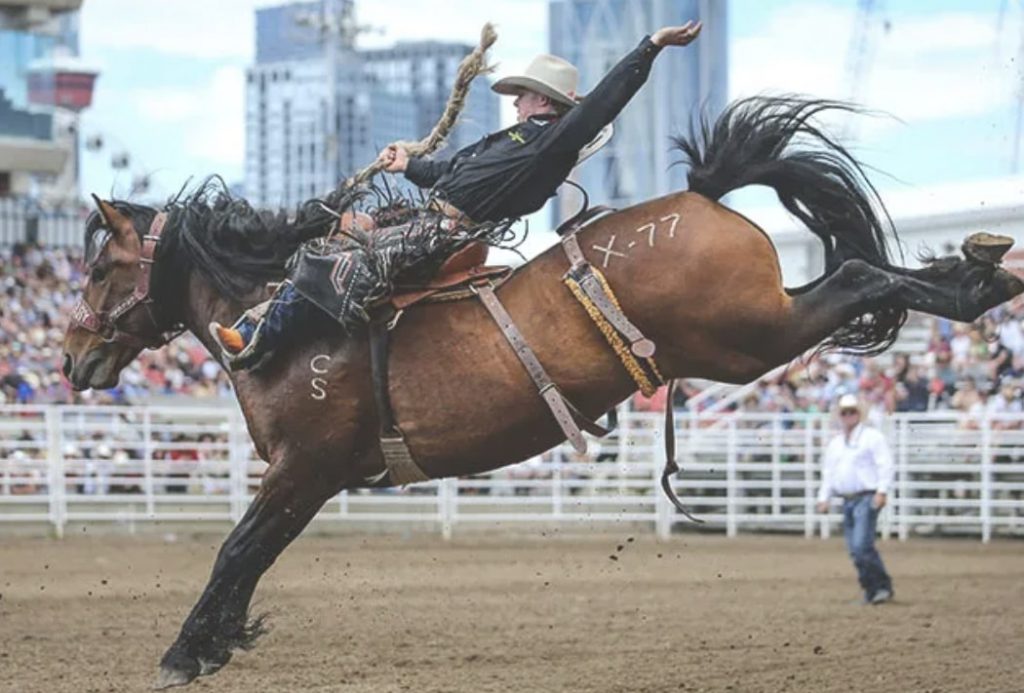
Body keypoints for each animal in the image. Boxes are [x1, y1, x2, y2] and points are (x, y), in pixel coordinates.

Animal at [61, 93, 1024, 687]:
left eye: (100, 268)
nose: (72, 356)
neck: (271, 317)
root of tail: (701, 197)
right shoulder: (307, 477)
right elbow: (250, 556)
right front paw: (217, 640)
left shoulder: (307, 467)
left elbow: (237, 550)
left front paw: (187, 650)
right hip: (758, 330)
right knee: (858, 272)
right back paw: (977, 268)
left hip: (752, 339)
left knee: (857, 275)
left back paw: (977, 280)